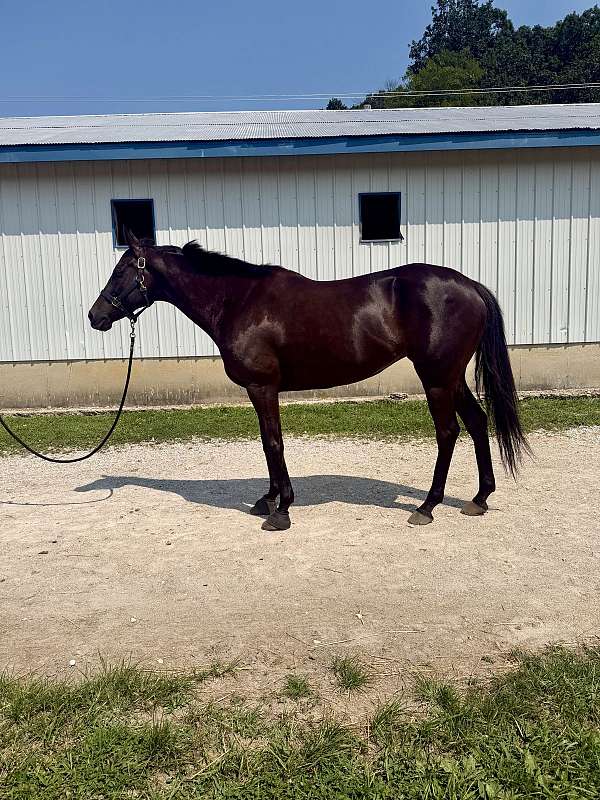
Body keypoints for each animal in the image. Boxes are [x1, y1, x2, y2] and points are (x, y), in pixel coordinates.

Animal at [88, 229, 529, 532]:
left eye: (121, 270)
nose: (96, 316)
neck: (239, 301)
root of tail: (470, 286)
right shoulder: (261, 391)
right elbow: (267, 444)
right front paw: (267, 500)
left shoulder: (262, 387)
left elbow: (273, 443)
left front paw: (280, 509)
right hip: (451, 376)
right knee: (477, 422)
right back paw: (478, 498)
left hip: (436, 376)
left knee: (448, 431)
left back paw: (427, 506)